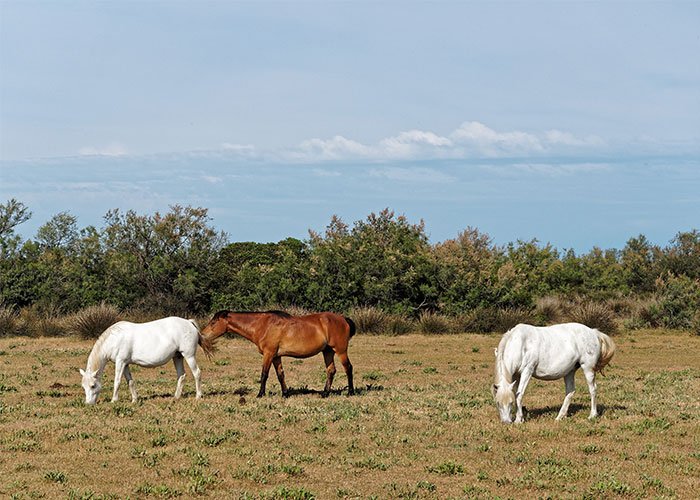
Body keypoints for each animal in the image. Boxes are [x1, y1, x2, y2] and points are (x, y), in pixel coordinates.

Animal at [77, 318, 212, 404]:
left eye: (93, 385)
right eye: (83, 386)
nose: (88, 403)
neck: (115, 339)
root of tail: (189, 322)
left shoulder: (120, 362)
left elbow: (117, 381)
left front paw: (114, 400)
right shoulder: (125, 364)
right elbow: (130, 382)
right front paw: (134, 400)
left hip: (189, 356)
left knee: (197, 373)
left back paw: (198, 396)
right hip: (177, 357)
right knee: (181, 375)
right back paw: (176, 397)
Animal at [201, 308, 356, 398]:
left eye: (213, 322)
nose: (202, 334)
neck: (262, 325)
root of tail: (343, 319)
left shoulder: (268, 354)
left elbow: (264, 374)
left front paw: (260, 394)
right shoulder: (276, 356)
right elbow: (280, 375)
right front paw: (285, 394)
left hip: (340, 350)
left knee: (348, 368)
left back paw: (350, 392)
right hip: (327, 351)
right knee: (331, 370)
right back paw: (325, 393)